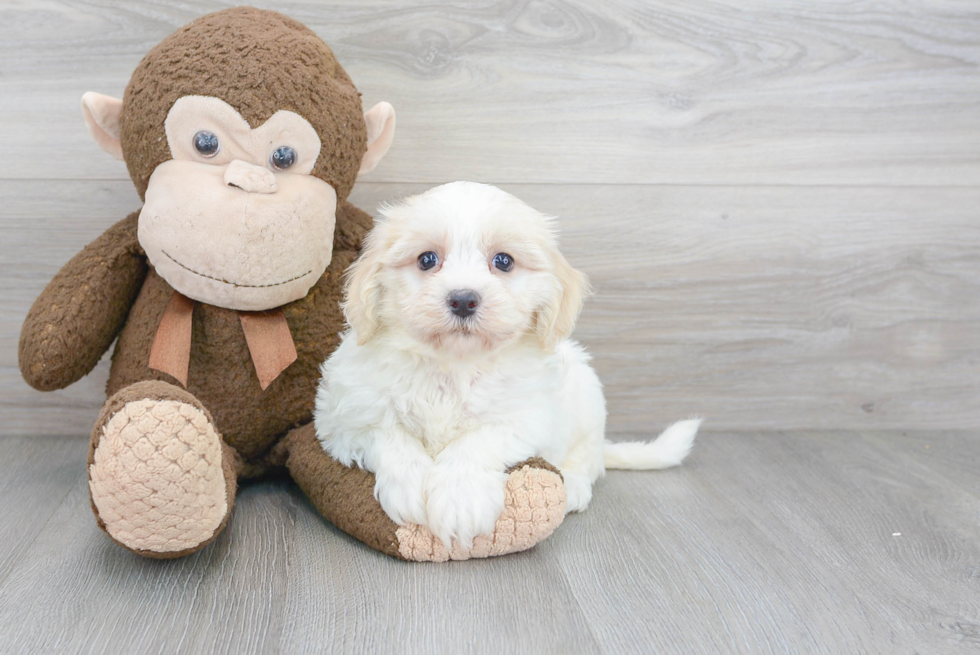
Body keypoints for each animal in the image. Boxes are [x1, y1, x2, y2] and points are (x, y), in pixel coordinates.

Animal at [318, 182, 700, 552]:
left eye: (503, 261)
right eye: (427, 259)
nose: (463, 299)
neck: (453, 365)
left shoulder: (525, 416)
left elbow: (477, 441)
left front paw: (460, 500)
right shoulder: (344, 417)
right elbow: (388, 435)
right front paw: (410, 485)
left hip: (588, 398)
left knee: (588, 460)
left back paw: (575, 486)